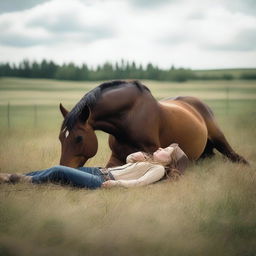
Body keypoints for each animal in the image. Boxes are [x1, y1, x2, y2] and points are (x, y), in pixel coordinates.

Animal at [58, 80, 248, 168]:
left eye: (79, 138)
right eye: (60, 138)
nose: (64, 169)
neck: (129, 118)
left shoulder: (153, 154)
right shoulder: (116, 157)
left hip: (220, 140)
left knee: (237, 158)